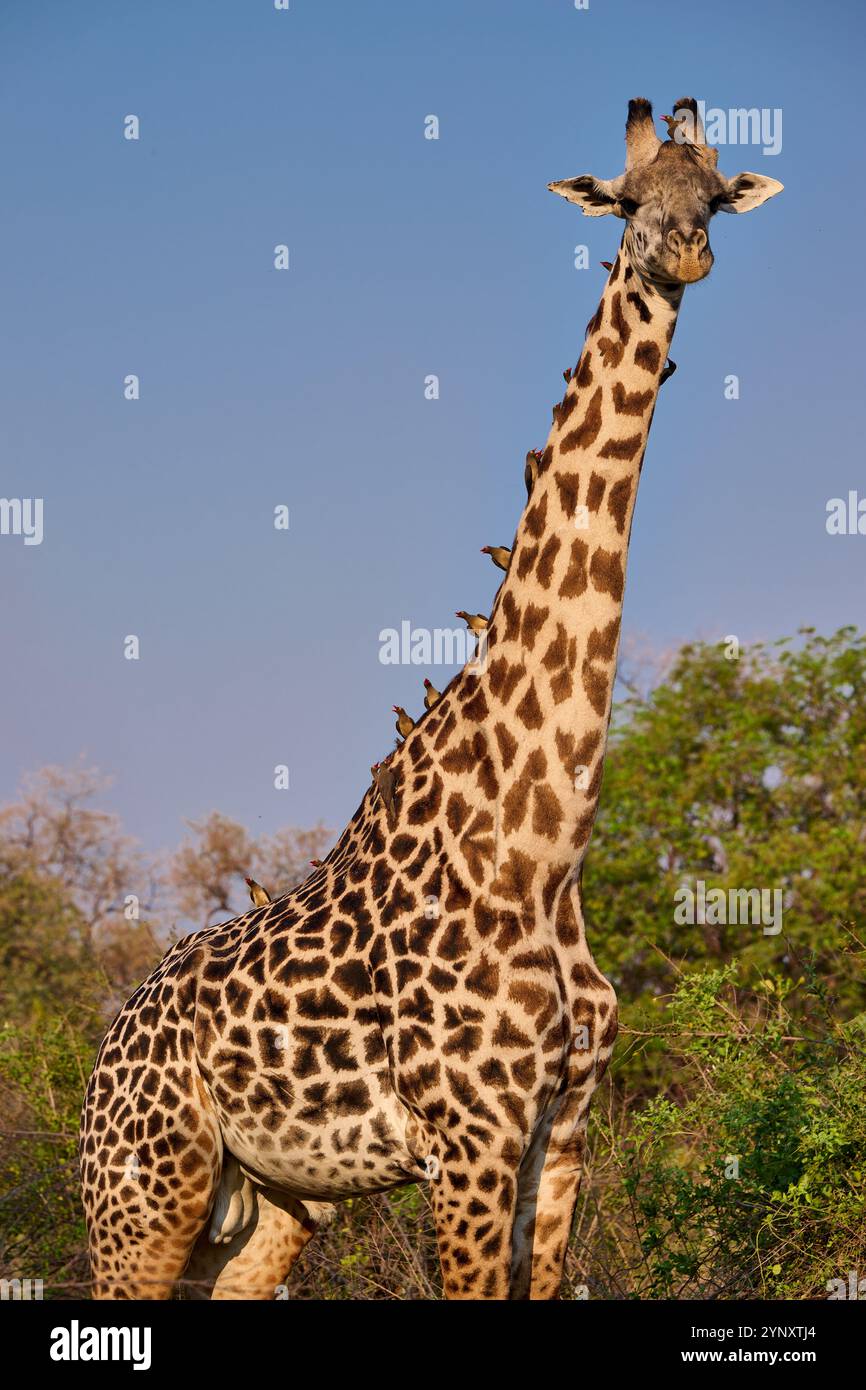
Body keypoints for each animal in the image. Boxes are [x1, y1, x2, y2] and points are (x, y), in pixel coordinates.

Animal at [79, 97, 782, 1301]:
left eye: (715, 194)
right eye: (627, 200)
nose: (684, 250)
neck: (543, 849)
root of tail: (103, 1049)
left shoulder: (562, 1135)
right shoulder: (471, 1143)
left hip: (274, 1199)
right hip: (138, 1195)